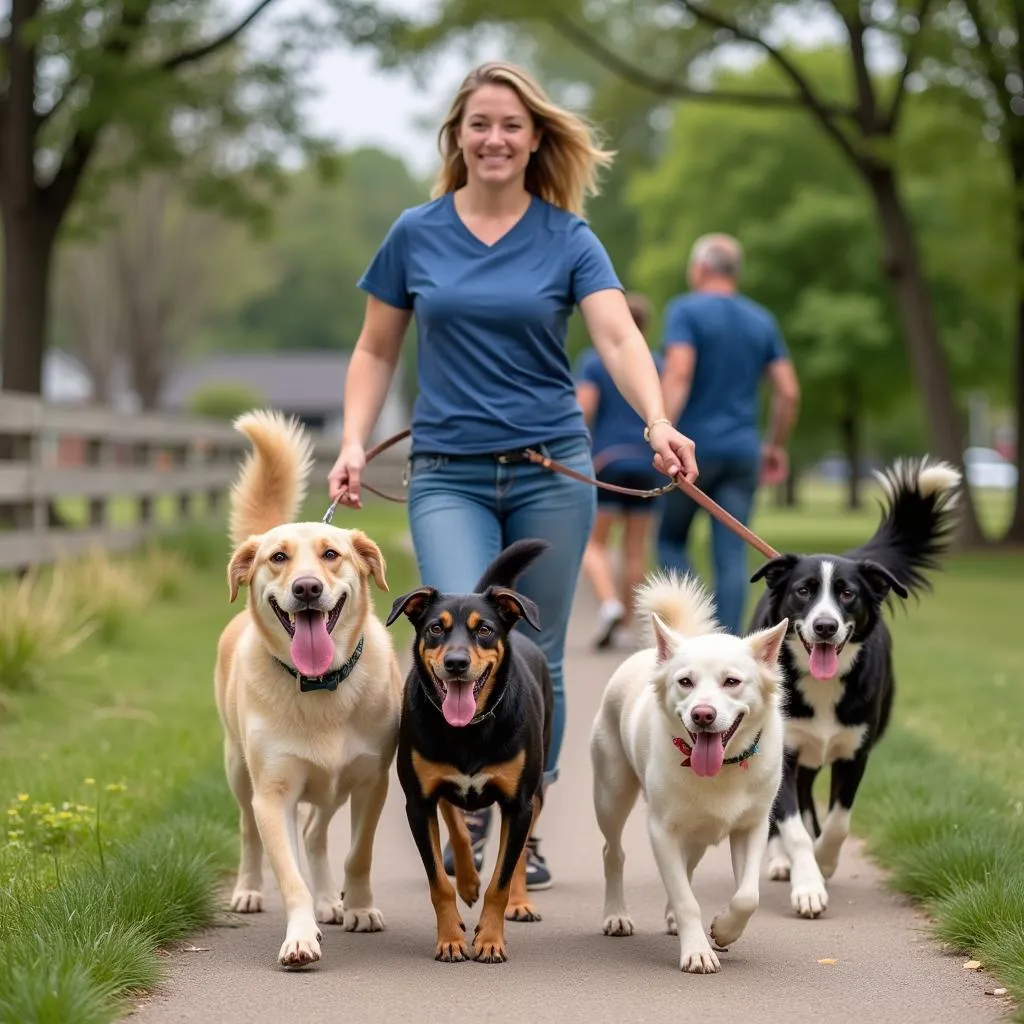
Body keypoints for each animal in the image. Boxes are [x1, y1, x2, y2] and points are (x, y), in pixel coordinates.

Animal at [387, 540, 557, 962]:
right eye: (436, 628)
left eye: (484, 629)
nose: (456, 662)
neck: (468, 731)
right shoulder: (418, 803)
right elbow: (438, 881)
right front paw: (450, 938)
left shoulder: (519, 803)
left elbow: (501, 878)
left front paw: (491, 939)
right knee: (456, 820)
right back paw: (467, 879)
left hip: (537, 787)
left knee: (519, 853)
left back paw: (520, 902)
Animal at [589, 573, 786, 970]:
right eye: (685, 682)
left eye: (731, 682)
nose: (703, 715)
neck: (721, 770)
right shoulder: (661, 831)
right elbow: (685, 899)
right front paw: (697, 950)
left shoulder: (752, 827)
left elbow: (748, 896)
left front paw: (724, 930)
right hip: (611, 796)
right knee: (613, 853)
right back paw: (616, 915)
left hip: (697, 833)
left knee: (688, 867)